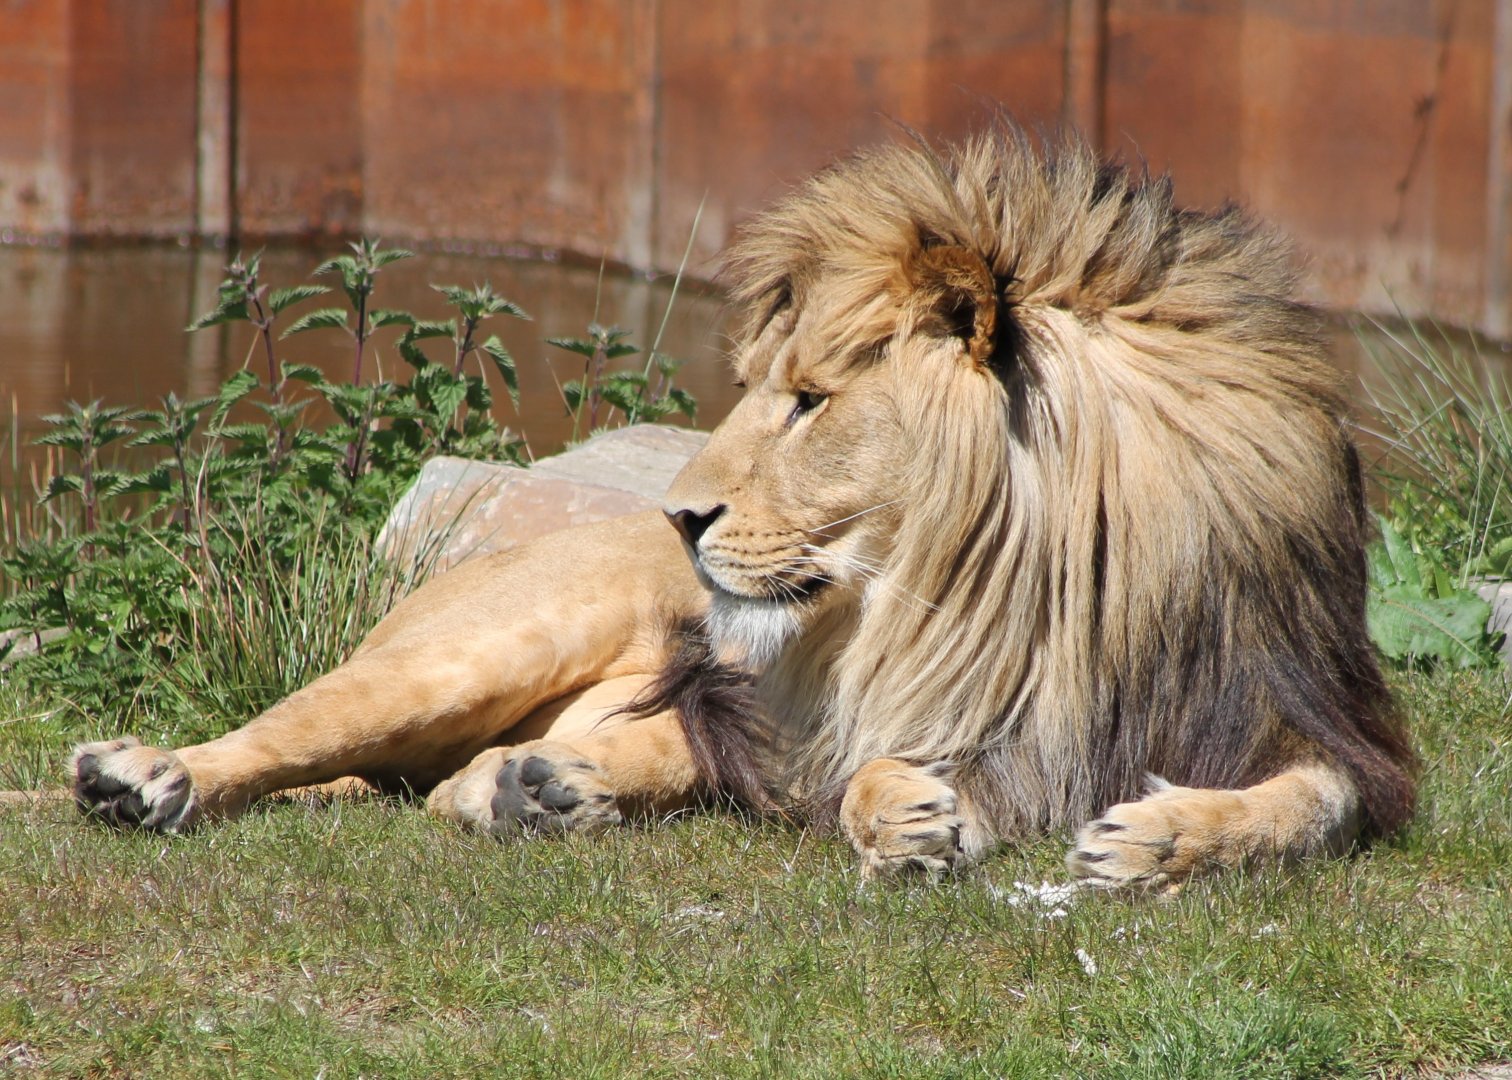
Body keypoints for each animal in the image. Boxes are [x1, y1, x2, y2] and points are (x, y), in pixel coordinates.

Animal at [67, 123, 1415, 889]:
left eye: (810, 401)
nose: (682, 518)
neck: (1019, 592)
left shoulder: (1307, 717)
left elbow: (1306, 806)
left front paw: (1164, 837)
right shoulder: (880, 724)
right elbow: (868, 768)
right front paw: (904, 817)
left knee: (462, 779)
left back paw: (538, 790)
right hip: (475, 648)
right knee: (293, 734)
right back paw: (141, 776)